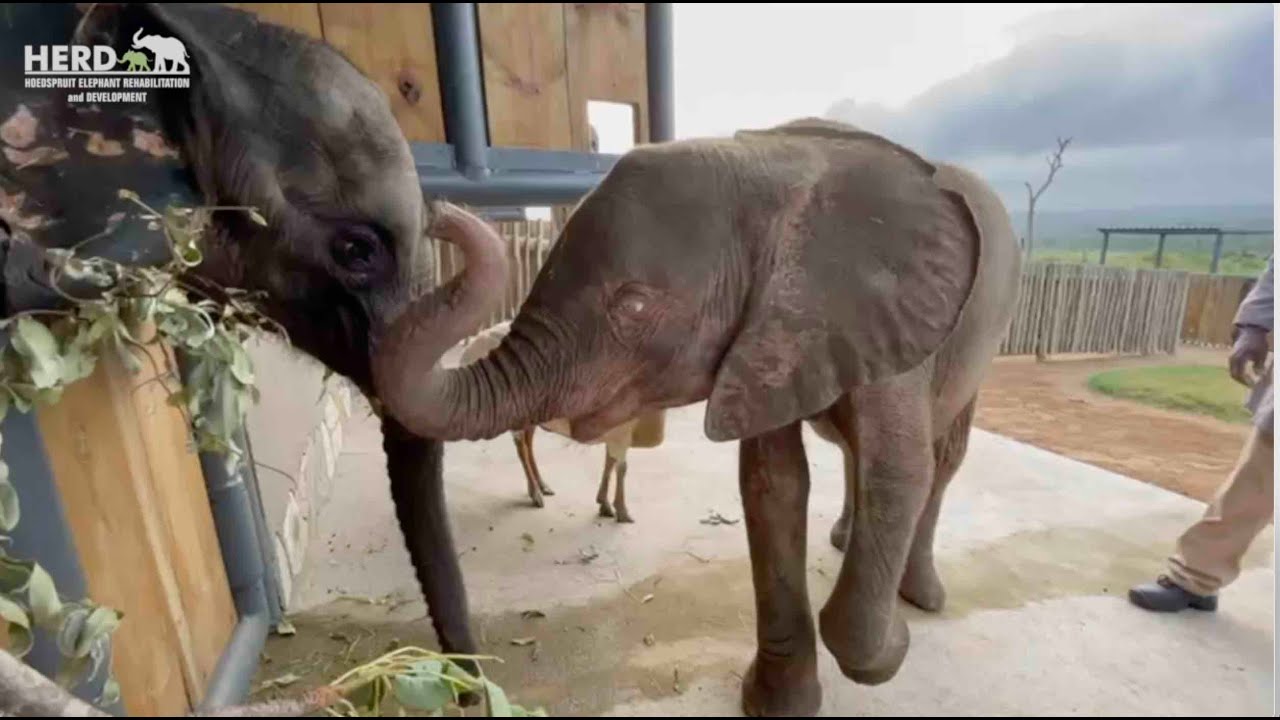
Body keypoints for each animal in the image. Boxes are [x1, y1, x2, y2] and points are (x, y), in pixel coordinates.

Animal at [370, 118, 1022, 716]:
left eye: (633, 306)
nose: (438, 210)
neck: (772, 163)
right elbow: (773, 485)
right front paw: (776, 704)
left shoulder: (892, 312)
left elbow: (900, 473)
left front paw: (896, 641)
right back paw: (847, 545)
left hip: (982, 337)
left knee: (941, 458)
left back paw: (921, 597)